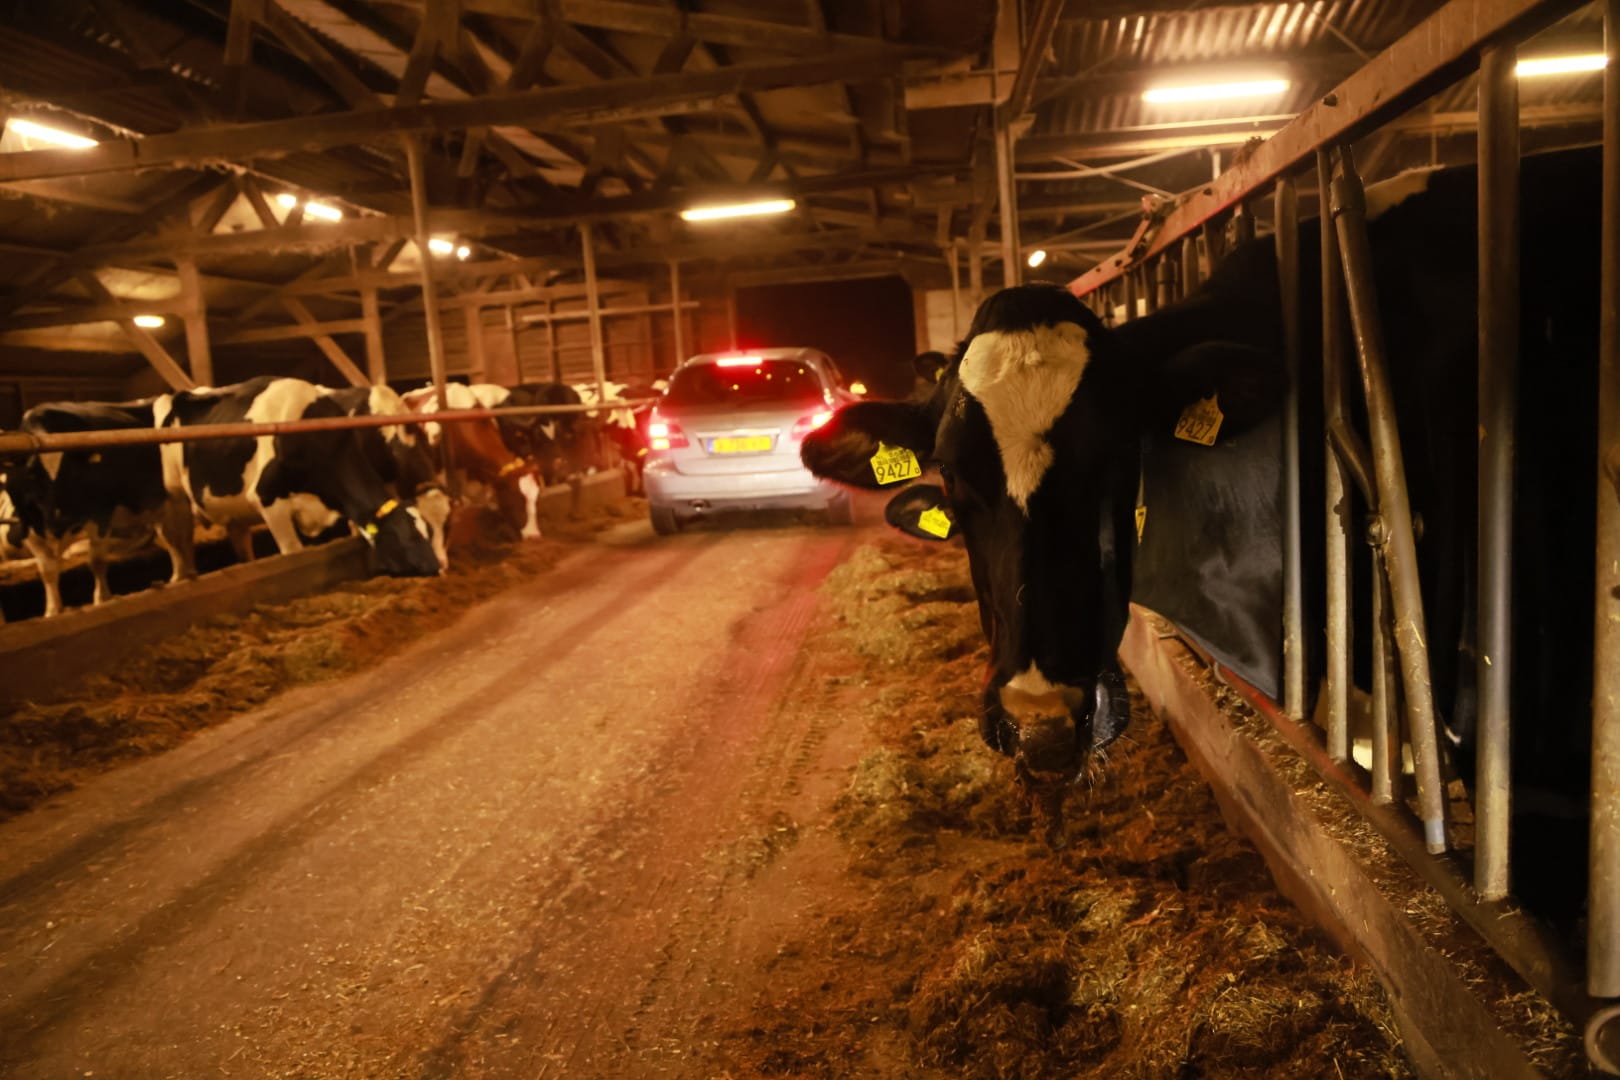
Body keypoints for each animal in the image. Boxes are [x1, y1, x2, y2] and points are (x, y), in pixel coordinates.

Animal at [1, 399, 197, 617]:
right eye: (32, 473)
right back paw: (178, 577)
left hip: (179, 500)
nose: (59, 519)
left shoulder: (101, 512)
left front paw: (102, 599)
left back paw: (190, 574)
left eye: (72, 471)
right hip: (159, 508)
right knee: (171, 540)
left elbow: (96, 560)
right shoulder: (29, 527)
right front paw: (52, 611)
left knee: (184, 537)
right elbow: (47, 571)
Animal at [156, 377, 442, 577]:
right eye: (409, 537)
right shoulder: (267, 499)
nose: (439, 567)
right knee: (178, 541)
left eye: (430, 530)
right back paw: (181, 577)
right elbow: (293, 552)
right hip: (173, 496)